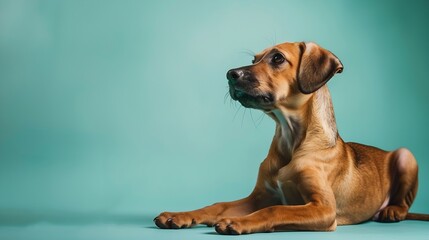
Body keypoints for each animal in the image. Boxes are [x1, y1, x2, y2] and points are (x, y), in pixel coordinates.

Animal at [153, 41, 424, 234]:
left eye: (278, 58)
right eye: (254, 59)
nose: (230, 74)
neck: (290, 138)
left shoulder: (324, 208)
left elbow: (276, 210)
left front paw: (237, 222)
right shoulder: (258, 197)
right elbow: (217, 205)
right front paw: (180, 215)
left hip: (405, 155)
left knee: (403, 202)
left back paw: (392, 211)